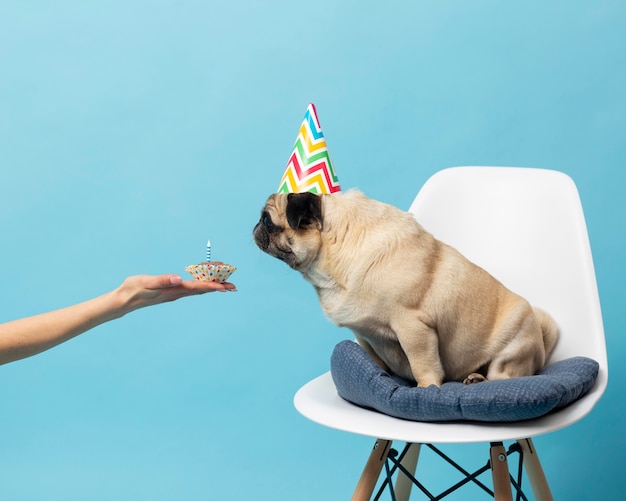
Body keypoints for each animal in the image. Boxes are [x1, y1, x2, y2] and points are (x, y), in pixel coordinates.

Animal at [251, 188, 560, 386]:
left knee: (503, 376)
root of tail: (541, 339)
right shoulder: (364, 334)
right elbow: (374, 359)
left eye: (267, 220)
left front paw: (426, 389)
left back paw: (479, 379)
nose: (254, 227)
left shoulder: (413, 328)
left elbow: (424, 366)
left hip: (512, 351)